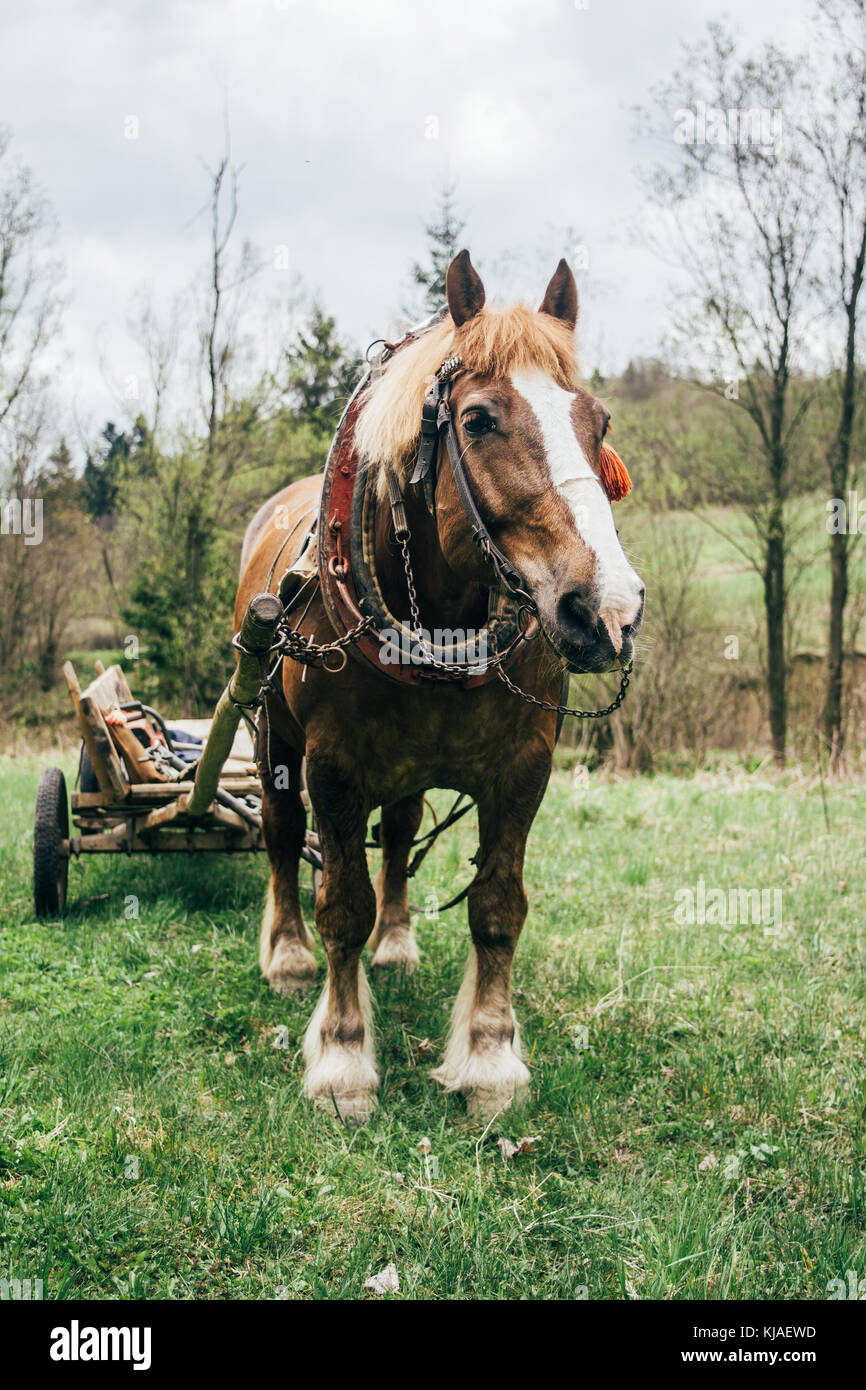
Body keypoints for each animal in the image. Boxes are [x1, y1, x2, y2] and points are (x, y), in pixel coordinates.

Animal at [236, 251, 644, 1122]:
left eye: (597, 422)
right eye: (479, 419)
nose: (609, 608)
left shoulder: (524, 767)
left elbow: (497, 906)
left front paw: (489, 1057)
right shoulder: (333, 765)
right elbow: (341, 907)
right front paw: (344, 1058)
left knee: (397, 835)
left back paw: (396, 942)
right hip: (274, 734)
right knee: (283, 834)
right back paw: (287, 955)